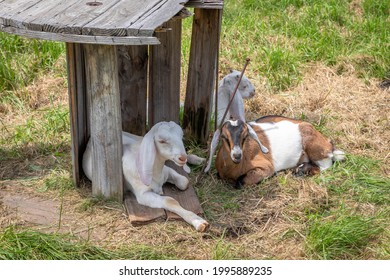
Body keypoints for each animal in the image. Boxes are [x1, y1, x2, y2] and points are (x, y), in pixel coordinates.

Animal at [215, 116, 346, 188]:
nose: (237, 155)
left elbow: (240, 182)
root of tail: (328, 143)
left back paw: (301, 171)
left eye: (245, 136)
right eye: (224, 137)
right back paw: (299, 169)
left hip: (316, 149)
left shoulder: (266, 167)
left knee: (325, 166)